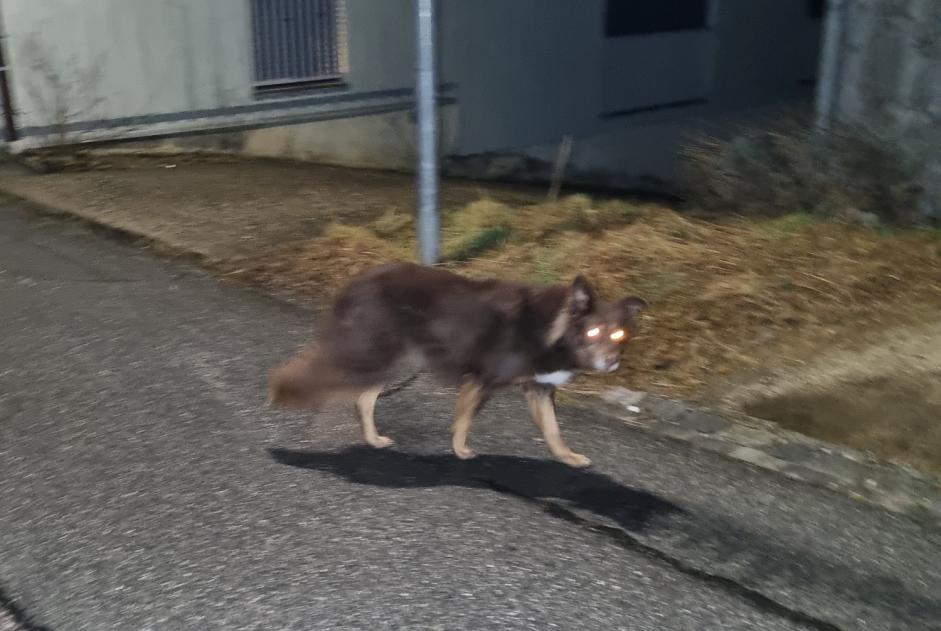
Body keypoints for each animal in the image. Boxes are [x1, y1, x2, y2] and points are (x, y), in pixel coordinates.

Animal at [268, 260, 644, 466]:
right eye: (593, 331)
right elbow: (463, 421)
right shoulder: (482, 379)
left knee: (363, 399)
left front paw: (567, 457)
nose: (612, 362)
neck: (552, 330)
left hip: (398, 360)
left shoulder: (539, 389)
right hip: (374, 355)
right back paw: (283, 391)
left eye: (619, 334)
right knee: (316, 376)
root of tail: (357, 281)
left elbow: (553, 430)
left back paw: (373, 439)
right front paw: (460, 450)